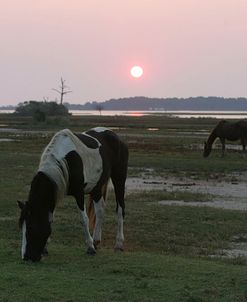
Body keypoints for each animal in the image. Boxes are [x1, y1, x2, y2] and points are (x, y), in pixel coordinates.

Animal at [17, 126, 129, 260]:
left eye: (31, 227)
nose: (26, 256)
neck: (64, 159)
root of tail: (116, 137)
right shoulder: (54, 193)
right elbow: (50, 218)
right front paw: (45, 248)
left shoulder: (79, 193)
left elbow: (84, 219)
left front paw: (90, 247)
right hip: (96, 186)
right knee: (100, 209)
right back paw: (96, 240)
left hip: (119, 178)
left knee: (120, 209)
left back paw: (118, 244)